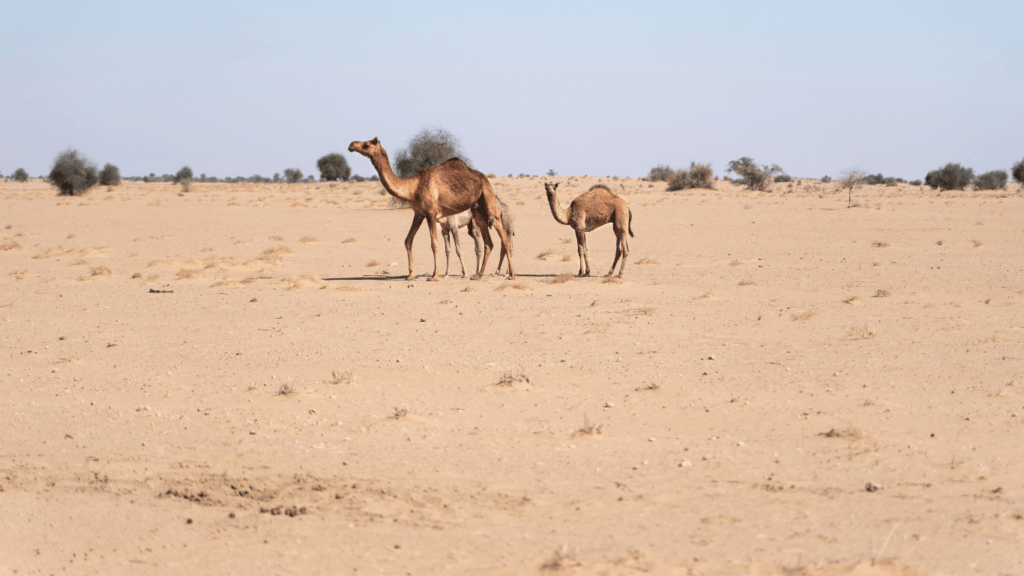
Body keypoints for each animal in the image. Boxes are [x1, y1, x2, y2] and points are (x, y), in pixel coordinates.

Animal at [348, 137, 516, 280]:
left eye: (367, 144)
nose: (351, 144)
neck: (413, 187)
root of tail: (484, 178)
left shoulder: (431, 213)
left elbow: (434, 243)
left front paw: (435, 275)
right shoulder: (419, 213)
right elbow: (408, 240)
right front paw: (411, 274)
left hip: (489, 199)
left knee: (505, 239)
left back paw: (511, 275)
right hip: (478, 212)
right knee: (489, 243)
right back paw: (478, 275)